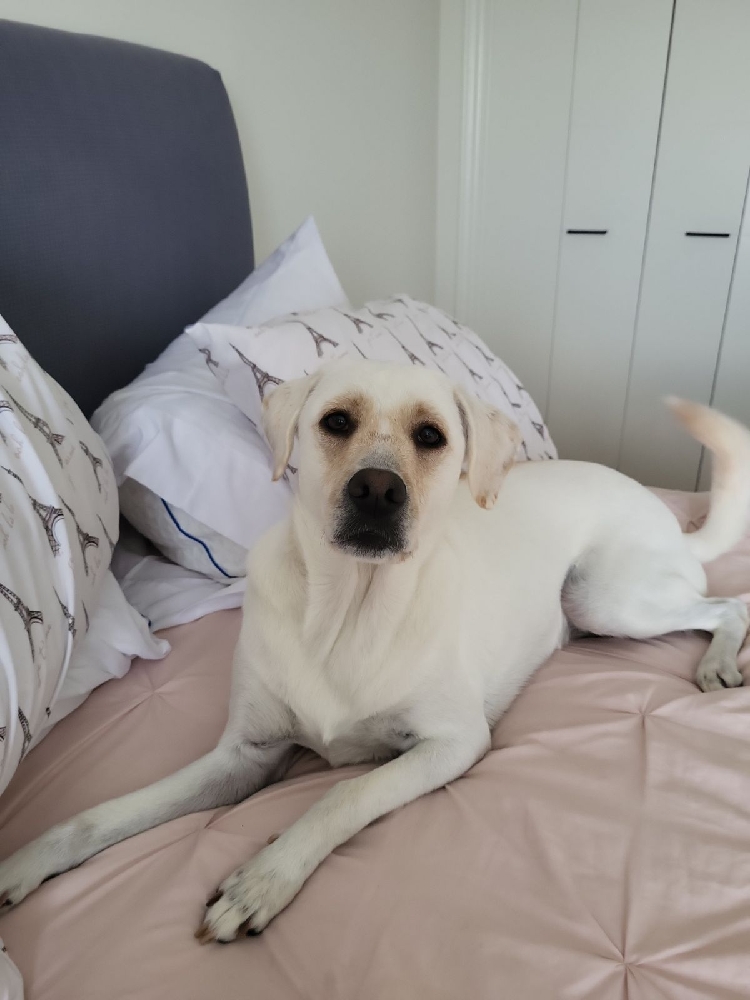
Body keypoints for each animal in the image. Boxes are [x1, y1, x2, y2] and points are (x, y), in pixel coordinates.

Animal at [1, 358, 748, 943]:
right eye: (336, 422)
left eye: (431, 436)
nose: (378, 490)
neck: (347, 611)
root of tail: (671, 522)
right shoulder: (242, 756)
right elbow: (94, 820)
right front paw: (21, 865)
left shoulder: (452, 743)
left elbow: (342, 794)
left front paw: (263, 879)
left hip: (602, 596)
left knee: (729, 604)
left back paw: (717, 660)